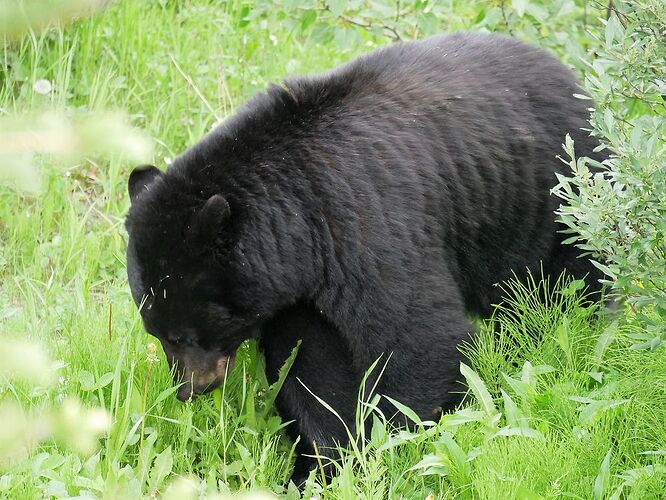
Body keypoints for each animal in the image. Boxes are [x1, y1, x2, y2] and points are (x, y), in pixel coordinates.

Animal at [123, 32, 600, 484]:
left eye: (182, 334)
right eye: (156, 332)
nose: (190, 389)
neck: (298, 221)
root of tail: (574, 76)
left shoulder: (365, 223)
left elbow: (417, 338)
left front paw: (391, 448)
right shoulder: (296, 287)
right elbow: (310, 367)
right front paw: (321, 465)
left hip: (558, 198)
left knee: (567, 284)